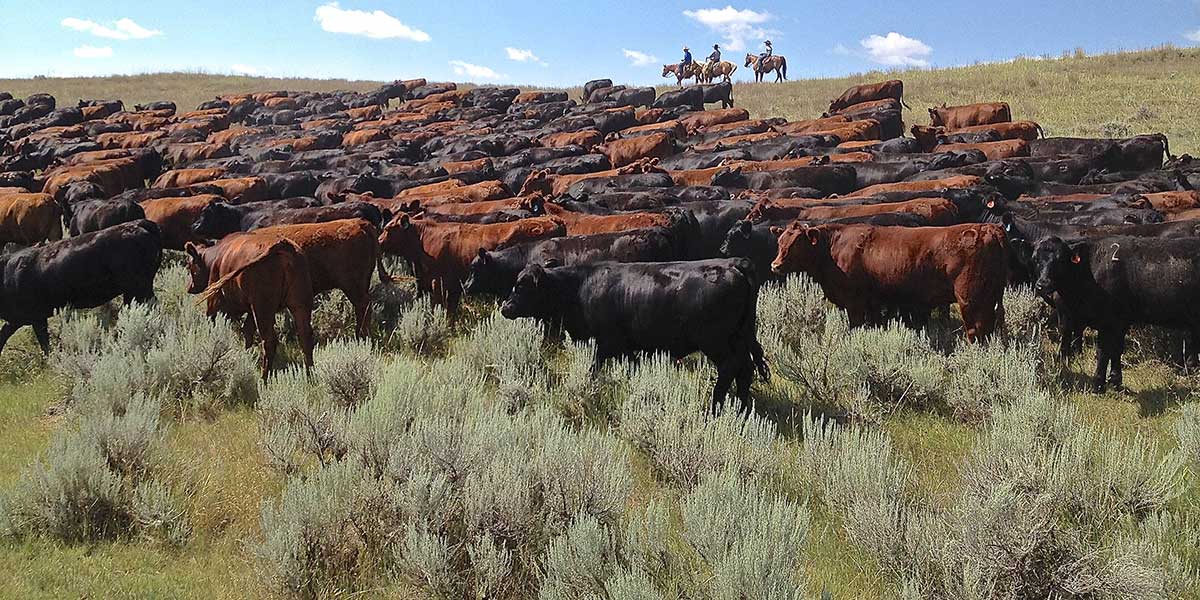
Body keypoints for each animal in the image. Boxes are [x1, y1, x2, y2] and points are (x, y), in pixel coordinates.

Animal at [0, 220, 162, 355]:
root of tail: (138, 224)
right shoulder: (17, 320)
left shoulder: (37, 317)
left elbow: (44, 343)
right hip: (134, 290)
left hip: (139, 288)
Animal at [499, 258, 768, 407]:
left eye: (522, 286)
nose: (505, 308)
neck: (578, 286)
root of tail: (734, 265)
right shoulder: (625, 346)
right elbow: (632, 365)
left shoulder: (607, 342)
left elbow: (594, 367)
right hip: (739, 339)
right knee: (745, 369)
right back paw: (741, 409)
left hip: (715, 342)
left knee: (730, 368)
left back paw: (714, 407)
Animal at [771, 222, 1008, 340]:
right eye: (780, 241)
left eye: (796, 244)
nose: (775, 265)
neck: (831, 247)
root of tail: (987, 228)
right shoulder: (873, 302)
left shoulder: (854, 302)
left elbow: (856, 326)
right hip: (991, 297)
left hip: (971, 299)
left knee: (976, 330)